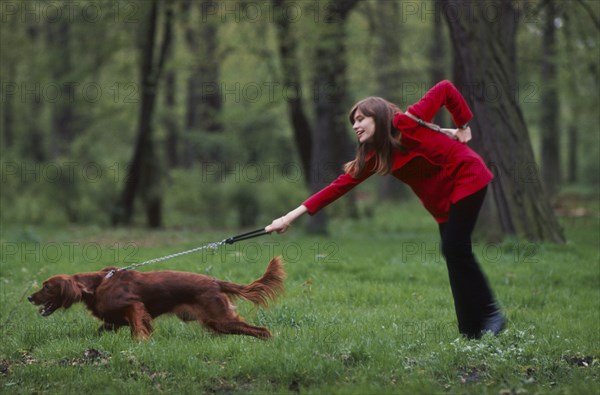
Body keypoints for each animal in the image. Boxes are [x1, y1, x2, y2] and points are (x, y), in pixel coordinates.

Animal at [29, 256, 288, 340]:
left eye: (47, 286)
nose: (30, 297)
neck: (97, 285)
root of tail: (215, 281)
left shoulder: (134, 306)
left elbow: (138, 327)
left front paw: (141, 343)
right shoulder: (112, 321)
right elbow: (103, 329)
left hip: (220, 319)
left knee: (262, 330)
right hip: (217, 321)